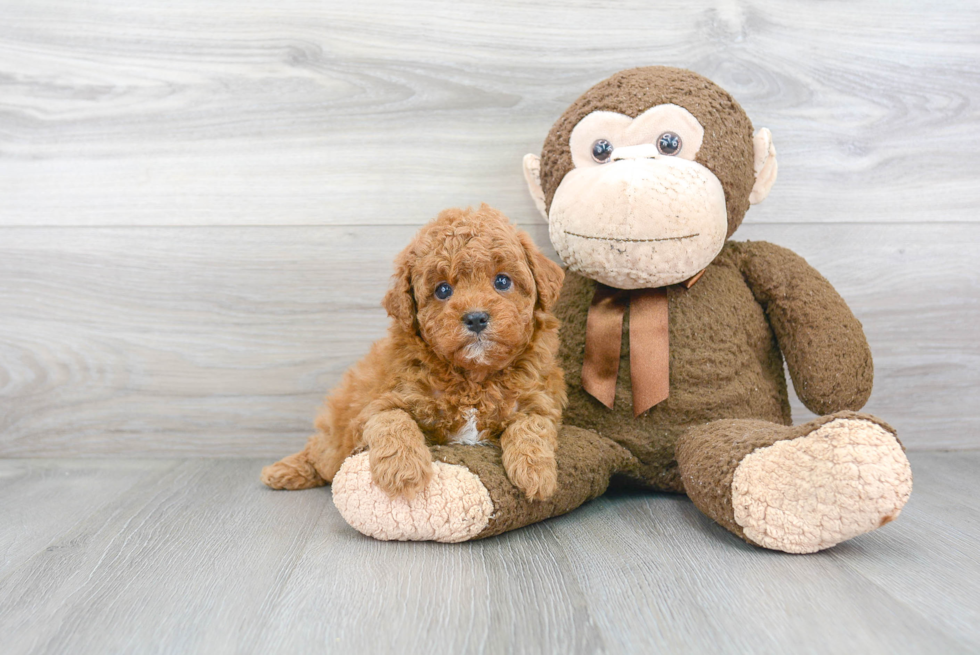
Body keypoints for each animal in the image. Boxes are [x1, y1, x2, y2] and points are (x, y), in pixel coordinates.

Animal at [260, 205, 568, 502]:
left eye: (502, 282)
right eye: (443, 290)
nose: (476, 318)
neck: (473, 378)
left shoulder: (539, 400)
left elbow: (532, 425)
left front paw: (536, 473)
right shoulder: (378, 405)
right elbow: (393, 420)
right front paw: (403, 471)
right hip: (336, 430)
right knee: (320, 453)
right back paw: (284, 471)